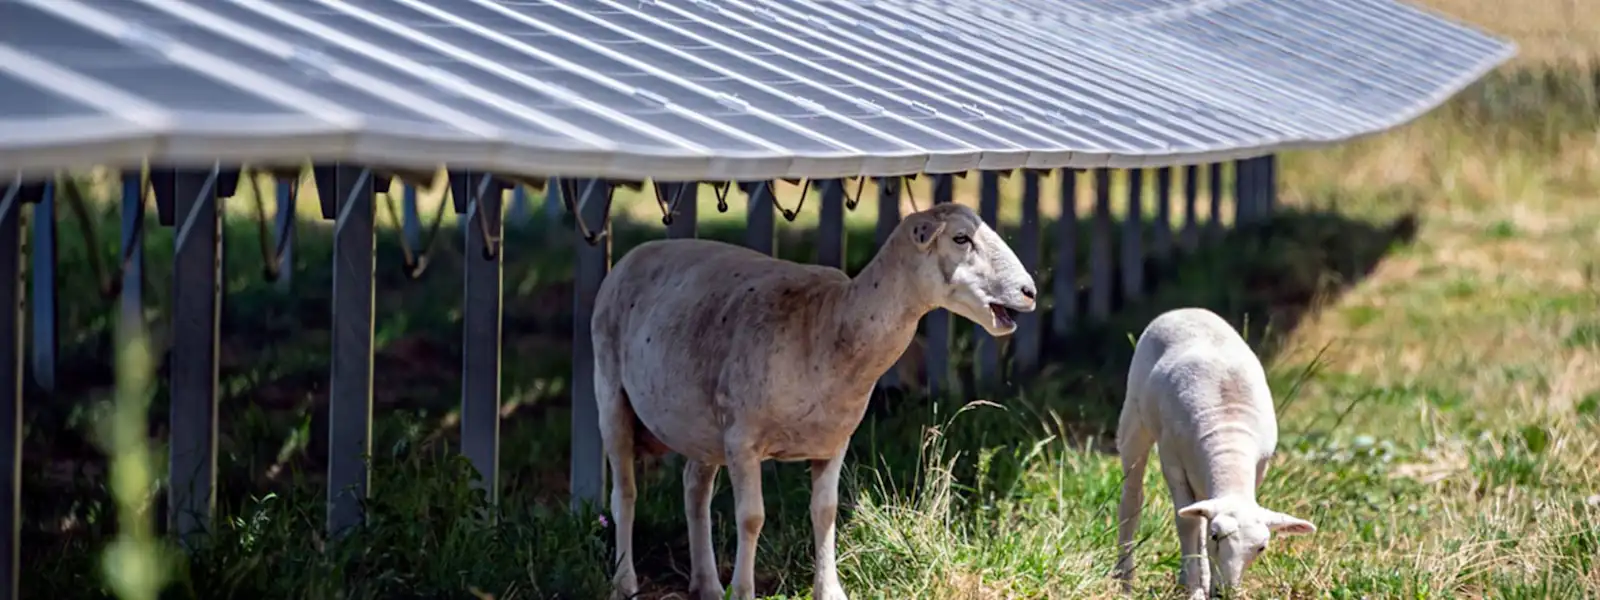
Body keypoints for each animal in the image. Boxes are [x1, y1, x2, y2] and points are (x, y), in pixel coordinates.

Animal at [590, 203, 1037, 600]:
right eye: (961, 238)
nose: (1029, 291)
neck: (831, 323)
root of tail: (636, 253)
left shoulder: (833, 443)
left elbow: (825, 511)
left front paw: (830, 590)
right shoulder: (742, 440)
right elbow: (751, 518)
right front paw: (744, 592)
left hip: (702, 425)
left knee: (694, 490)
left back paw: (707, 585)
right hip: (611, 394)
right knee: (625, 494)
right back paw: (625, 583)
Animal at [1113, 307, 1316, 599]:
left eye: (1261, 548)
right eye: (1216, 536)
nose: (1225, 593)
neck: (1229, 437)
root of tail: (1185, 310)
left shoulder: (1259, 467)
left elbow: (1196, 521)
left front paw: (1201, 583)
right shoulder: (1171, 459)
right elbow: (1186, 525)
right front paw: (1197, 590)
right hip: (1135, 416)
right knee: (1132, 497)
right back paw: (1125, 578)